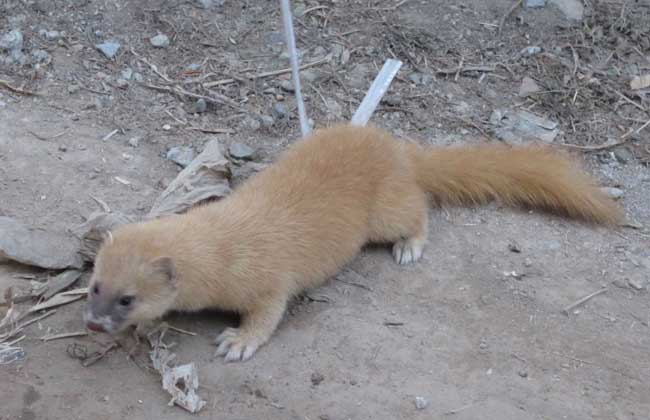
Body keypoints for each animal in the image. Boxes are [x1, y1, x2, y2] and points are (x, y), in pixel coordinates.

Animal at [83, 124, 620, 360]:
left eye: (127, 298)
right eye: (94, 284)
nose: (90, 323)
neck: (224, 241)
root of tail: (398, 148)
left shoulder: (270, 279)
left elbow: (268, 314)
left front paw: (237, 341)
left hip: (385, 213)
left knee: (418, 209)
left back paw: (409, 247)